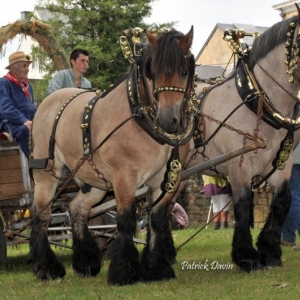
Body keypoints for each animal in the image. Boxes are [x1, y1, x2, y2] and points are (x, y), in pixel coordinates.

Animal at [29, 27, 196, 284]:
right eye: (154, 72)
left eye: (184, 71)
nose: (168, 119)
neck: (141, 119)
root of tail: (48, 101)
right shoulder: (124, 176)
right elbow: (125, 220)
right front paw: (124, 271)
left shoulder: (168, 179)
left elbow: (158, 220)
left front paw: (157, 268)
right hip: (47, 176)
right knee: (42, 217)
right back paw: (47, 268)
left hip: (94, 181)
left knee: (77, 210)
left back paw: (85, 262)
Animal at [189, 14, 300, 272]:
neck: (258, 99)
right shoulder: (239, 165)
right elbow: (242, 204)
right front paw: (247, 257)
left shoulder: (283, 162)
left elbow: (282, 201)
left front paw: (270, 252)